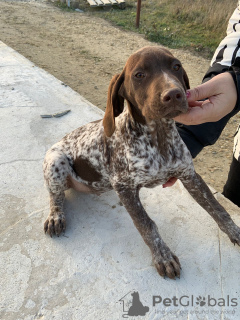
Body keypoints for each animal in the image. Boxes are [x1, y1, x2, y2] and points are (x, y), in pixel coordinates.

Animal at [43, 46, 240, 278]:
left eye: (176, 66)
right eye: (139, 75)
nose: (174, 94)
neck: (158, 135)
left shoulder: (190, 175)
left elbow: (218, 209)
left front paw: (235, 232)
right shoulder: (124, 187)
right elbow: (147, 224)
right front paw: (163, 256)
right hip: (55, 161)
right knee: (55, 195)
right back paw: (56, 216)